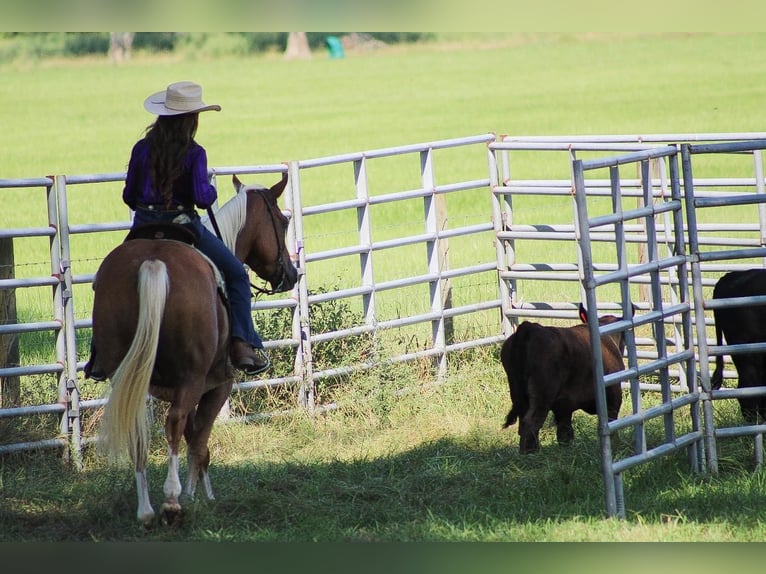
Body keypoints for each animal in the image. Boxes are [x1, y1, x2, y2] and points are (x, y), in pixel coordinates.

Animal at [91, 174, 298, 528]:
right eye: (283, 223)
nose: (292, 275)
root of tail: (154, 261)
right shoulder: (216, 384)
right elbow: (199, 440)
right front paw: (199, 495)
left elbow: (191, 435)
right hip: (193, 376)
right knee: (174, 424)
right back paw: (172, 501)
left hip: (128, 375)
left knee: (139, 428)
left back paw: (145, 510)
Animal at [500, 306, 628, 454]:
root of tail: (529, 328)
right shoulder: (613, 394)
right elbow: (612, 422)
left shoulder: (563, 405)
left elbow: (564, 433)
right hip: (542, 395)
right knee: (530, 423)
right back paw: (532, 454)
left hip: (518, 394)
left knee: (523, 423)